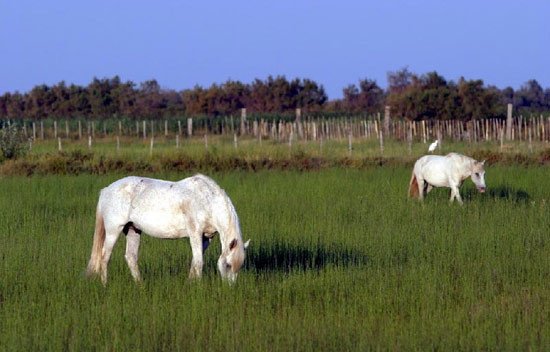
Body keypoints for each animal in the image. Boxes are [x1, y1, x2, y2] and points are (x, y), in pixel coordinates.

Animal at [86, 175, 250, 284]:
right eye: (228, 265)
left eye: (239, 266)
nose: (229, 288)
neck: (207, 199)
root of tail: (106, 190)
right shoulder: (195, 233)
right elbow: (199, 262)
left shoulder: (206, 237)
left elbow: (195, 261)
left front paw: (190, 283)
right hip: (113, 230)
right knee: (104, 257)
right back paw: (105, 285)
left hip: (133, 230)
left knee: (131, 257)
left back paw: (140, 285)